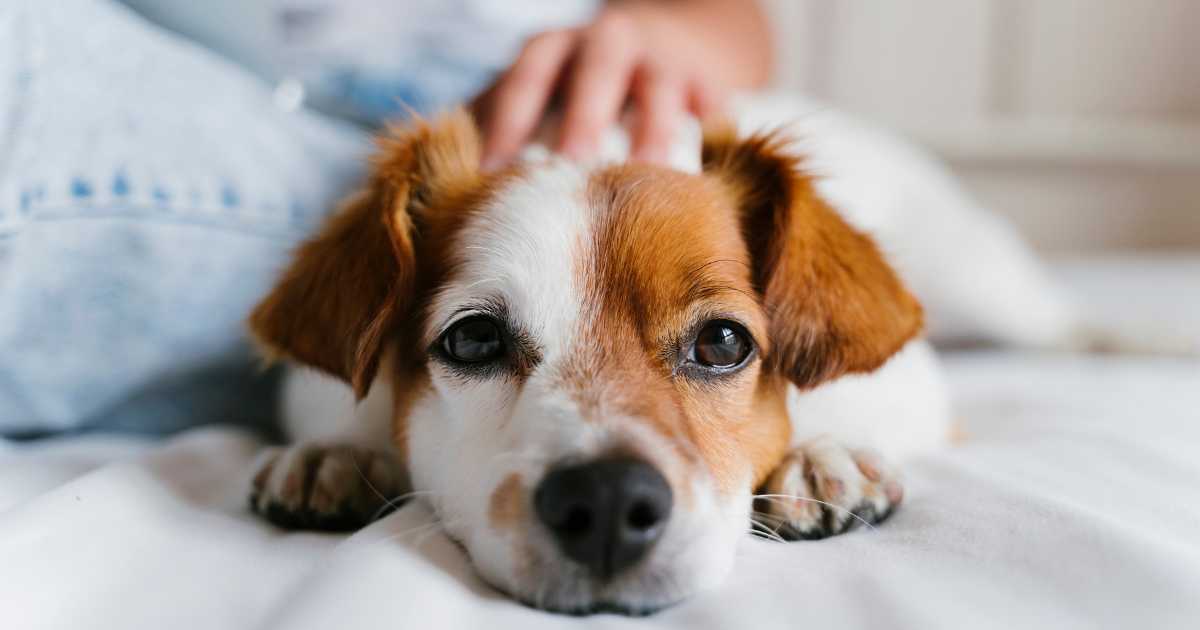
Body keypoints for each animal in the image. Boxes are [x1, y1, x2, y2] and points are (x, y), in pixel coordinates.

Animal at [246, 97, 1089, 614]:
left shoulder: (912, 381)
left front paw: (823, 452)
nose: (606, 503)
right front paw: (336, 452)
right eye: (473, 338)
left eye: (722, 341)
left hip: (986, 286)